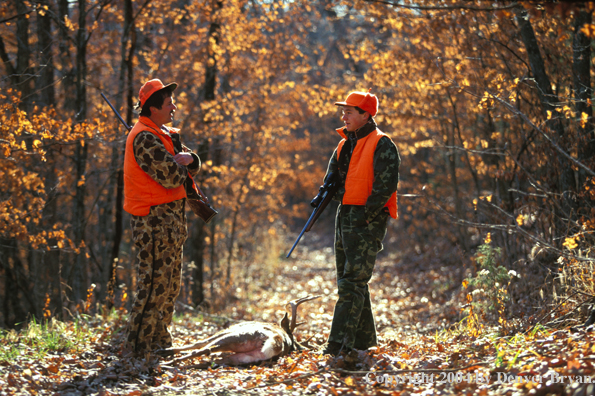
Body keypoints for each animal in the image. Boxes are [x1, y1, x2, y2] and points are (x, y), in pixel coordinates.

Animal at [159, 296, 322, 366]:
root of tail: (280, 342)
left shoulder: (228, 331)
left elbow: (199, 343)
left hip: (239, 336)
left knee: (206, 348)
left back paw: (165, 360)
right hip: (244, 357)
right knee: (212, 359)